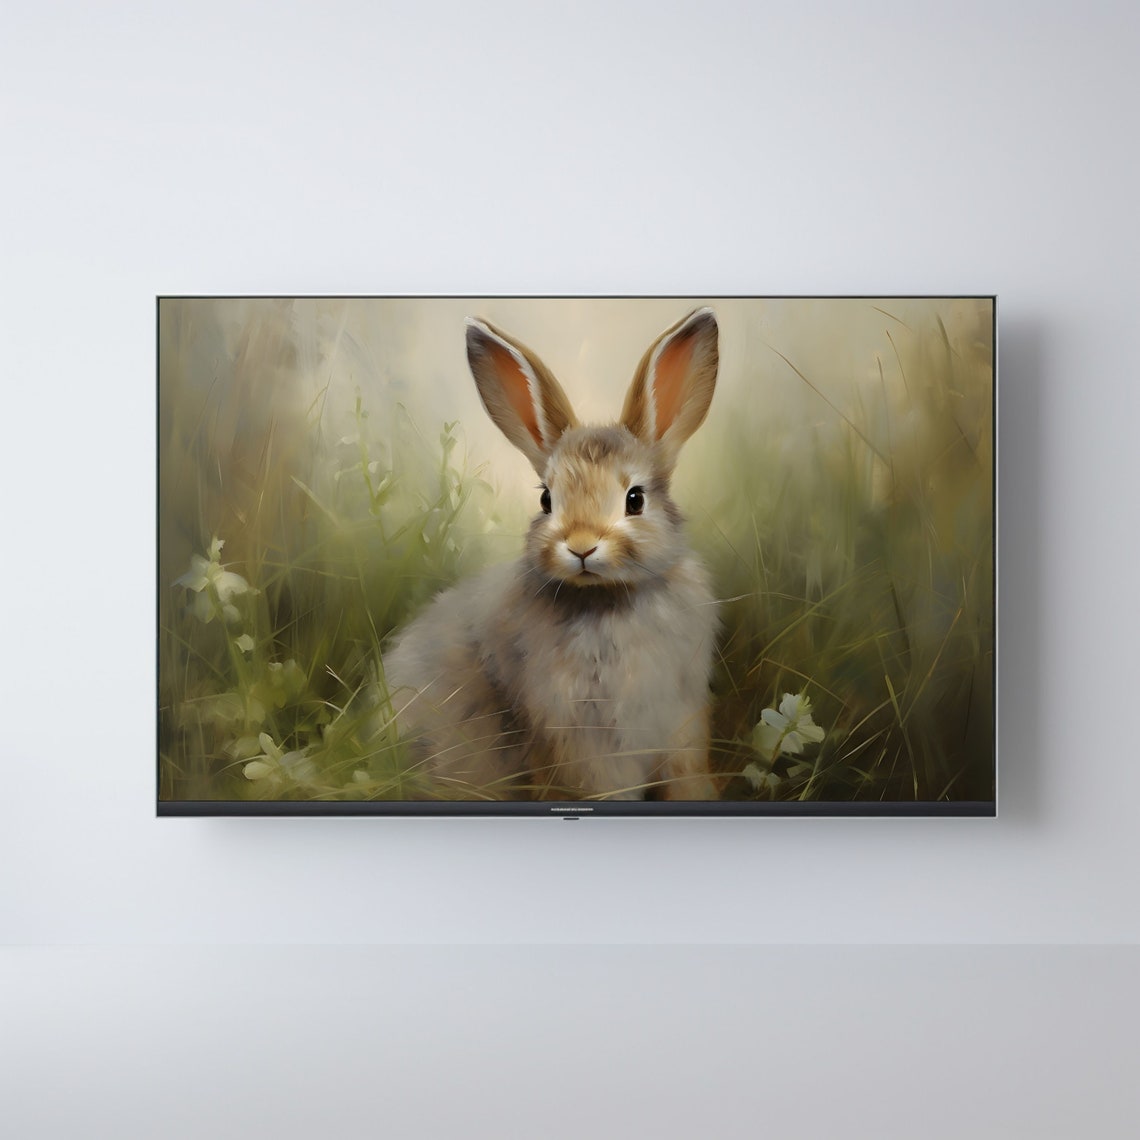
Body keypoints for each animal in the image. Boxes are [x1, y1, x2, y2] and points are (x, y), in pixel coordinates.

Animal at [382, 308, 720, 801]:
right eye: (546, 499)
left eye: (635, 499)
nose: (581, 546)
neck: (607, 599)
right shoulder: (580, 736)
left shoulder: (682, 720)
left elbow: (686, 776)